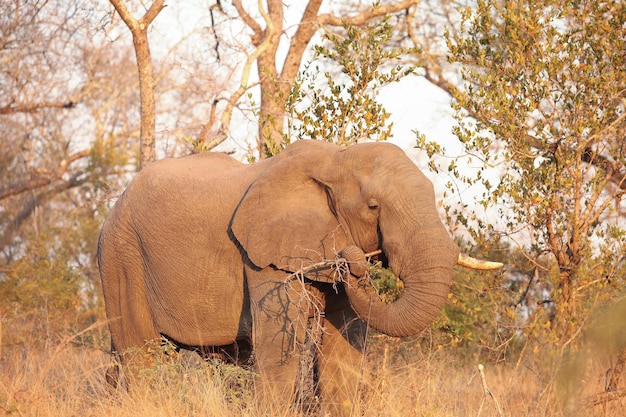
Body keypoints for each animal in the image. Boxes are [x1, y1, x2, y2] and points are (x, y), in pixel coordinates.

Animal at [96, 139, 498, 412]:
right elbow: (279, 352)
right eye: (374, 207)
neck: (336, 160)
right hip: (121, 254)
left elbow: (343, 352)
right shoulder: (265, 258)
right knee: (141, 354)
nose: (355, 258)